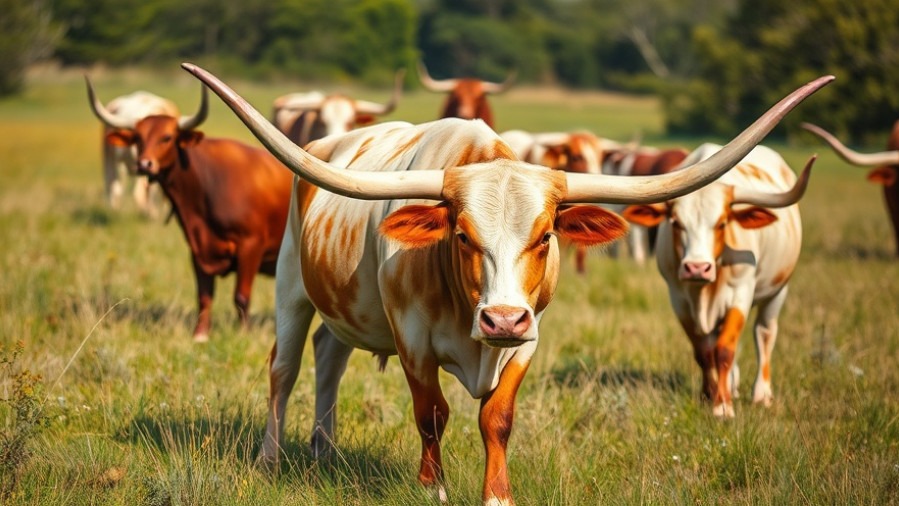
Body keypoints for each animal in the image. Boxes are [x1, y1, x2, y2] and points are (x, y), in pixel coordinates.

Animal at [86, 78, 294, 342]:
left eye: (167, 137)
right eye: (138, 139)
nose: (144, 164)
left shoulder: (251, 246)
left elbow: (241, 296)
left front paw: (243, 334)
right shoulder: (197, 250)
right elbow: (204, 296)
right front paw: (200, 335)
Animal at [621, 144, 815, 418]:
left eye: (722, 223)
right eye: (676, 223)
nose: (696, 268)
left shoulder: (741, 294)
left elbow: (725, 349)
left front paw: (723, 406)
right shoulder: (679, 301)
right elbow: (704, 352)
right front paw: (709, 396)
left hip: (778, 290)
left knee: (764, 333)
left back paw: (761, 394)